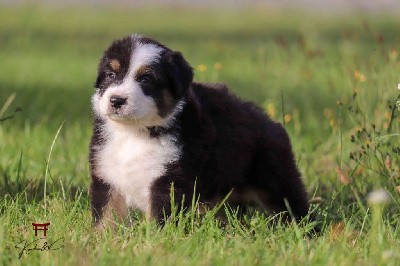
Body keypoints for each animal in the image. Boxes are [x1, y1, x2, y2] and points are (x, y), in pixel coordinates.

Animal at [90, 34, 310, 228]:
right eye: (110, 75)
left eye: (146, 79)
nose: (116, 100)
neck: (134, 132)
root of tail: (272, 123)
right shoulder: (106, 173)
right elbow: (105, 216)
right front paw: (100, 240)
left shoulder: (168, 179)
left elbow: (159, 219)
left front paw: (155, 242)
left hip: (277, 182)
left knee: (294, 208)